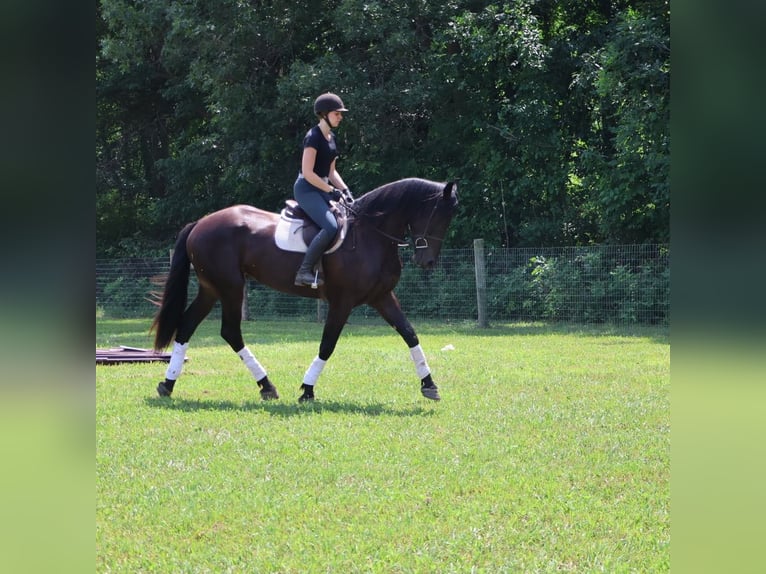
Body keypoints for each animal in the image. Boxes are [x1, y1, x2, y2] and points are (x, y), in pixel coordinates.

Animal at [151, 177, 459, 402]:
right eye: (437, 216)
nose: (427, 261)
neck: (371, 234)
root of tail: (199, 224)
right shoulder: (342, 301)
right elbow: (328, 343)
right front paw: (307, 390)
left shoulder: (381, 297)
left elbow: (409, 333)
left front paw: (429, 385)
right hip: (230, 287)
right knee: (230, 331)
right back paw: (266, 385)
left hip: (211, 288)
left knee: (187, 325)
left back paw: (168, 384)